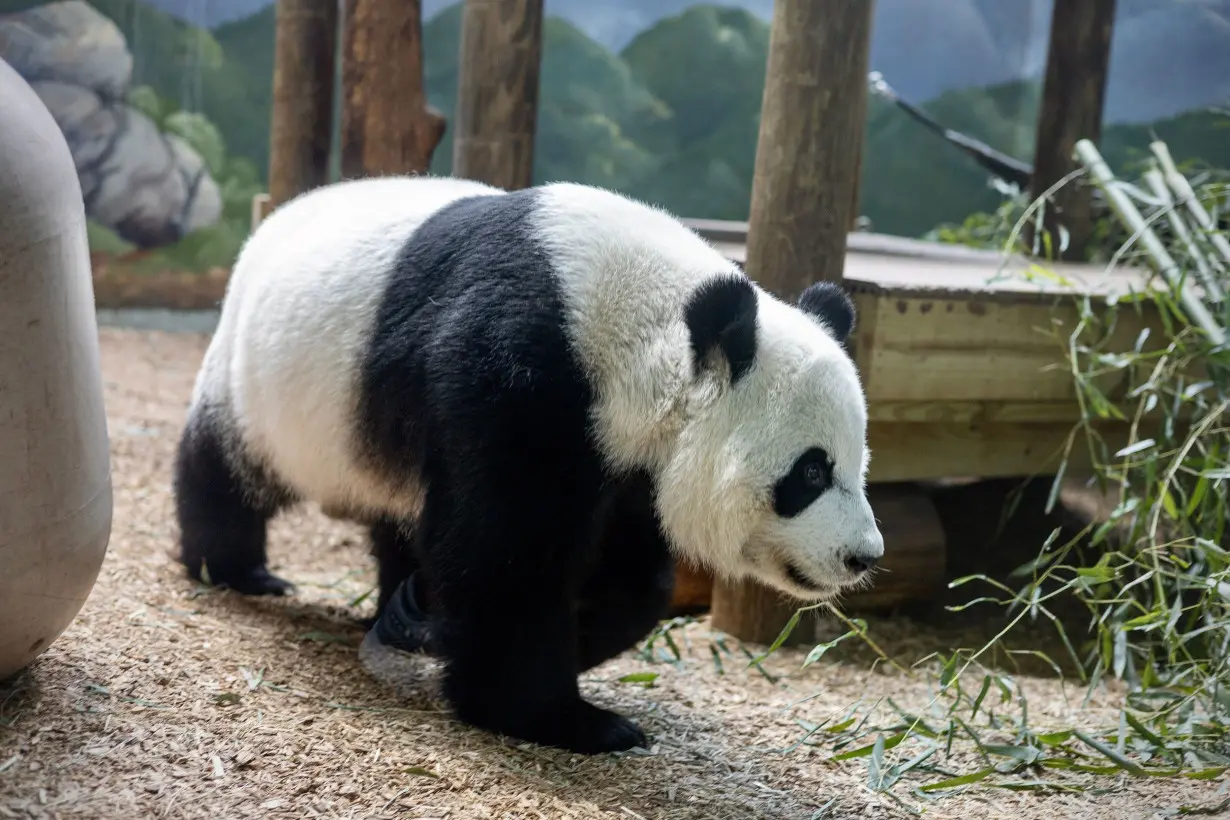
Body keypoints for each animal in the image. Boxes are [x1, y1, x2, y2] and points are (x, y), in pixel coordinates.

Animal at [173, 174, 885, 757]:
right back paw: (236, 568)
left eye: (859, 465)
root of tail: (274, 217)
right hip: (261, 377)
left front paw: (571, 635)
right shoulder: (517, 371)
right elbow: (505, 555)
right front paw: (559, 718)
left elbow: (632, 574)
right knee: (225, 467)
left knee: (399, 517)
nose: (862, 556)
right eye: (811, 473)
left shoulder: (620, 454)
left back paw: (400, 608)